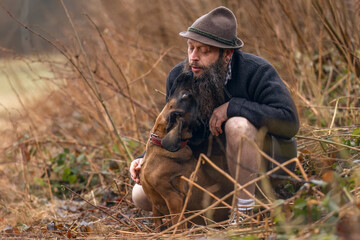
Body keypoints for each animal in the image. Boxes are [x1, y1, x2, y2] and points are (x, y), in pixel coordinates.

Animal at [139, 72, 232, 231]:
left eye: (185, 94)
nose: (188, 73)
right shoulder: (155, 204)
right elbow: (157, 221)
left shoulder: (173, 198)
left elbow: (178, 223)